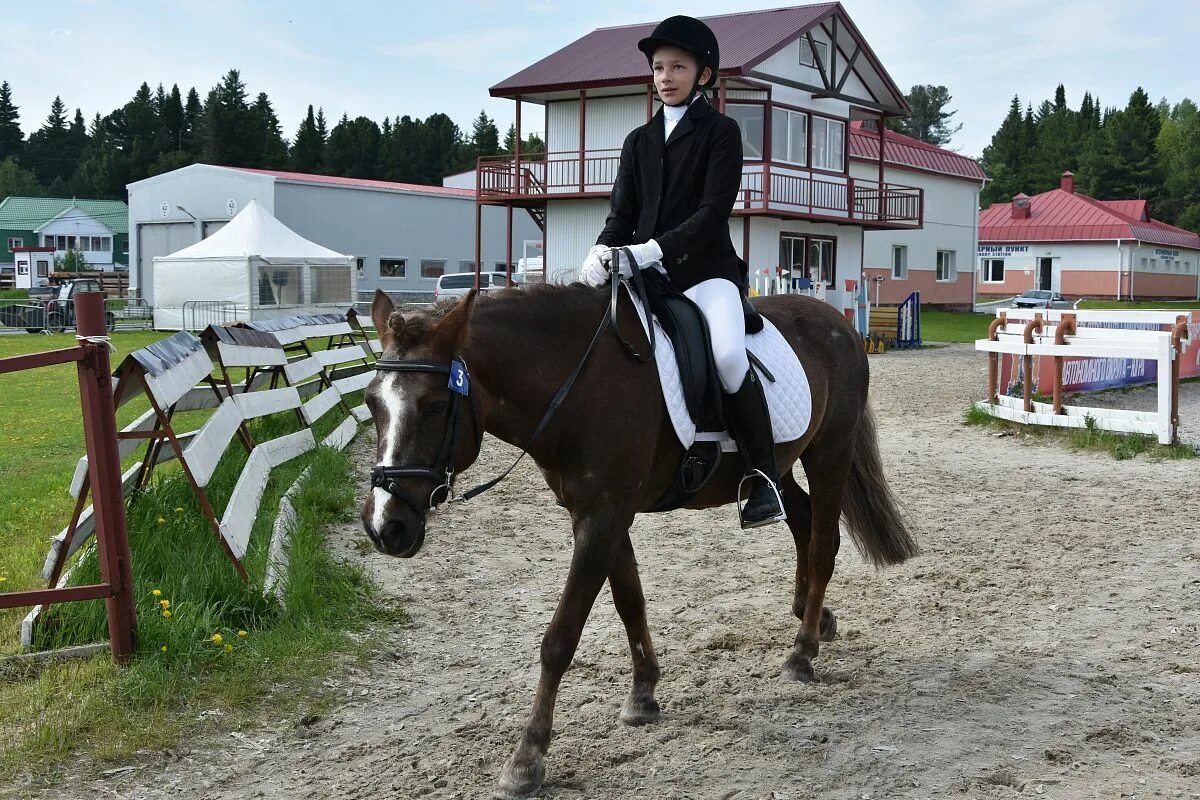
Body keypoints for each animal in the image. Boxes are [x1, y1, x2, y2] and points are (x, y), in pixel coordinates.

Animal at [360, 284, 912, 796]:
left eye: (435, 405)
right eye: (371, 403)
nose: (386, 527)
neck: (577, 383)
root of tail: (835, 321)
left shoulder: (603, 517)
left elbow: (560, 638)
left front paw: (527, 758)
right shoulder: (599, 515)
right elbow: (629, 599)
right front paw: (643, 693)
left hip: (830, 451)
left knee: (822, 545)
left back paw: (802, 653)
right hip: (779, 463)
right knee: (798, 518)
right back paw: (813, 616)